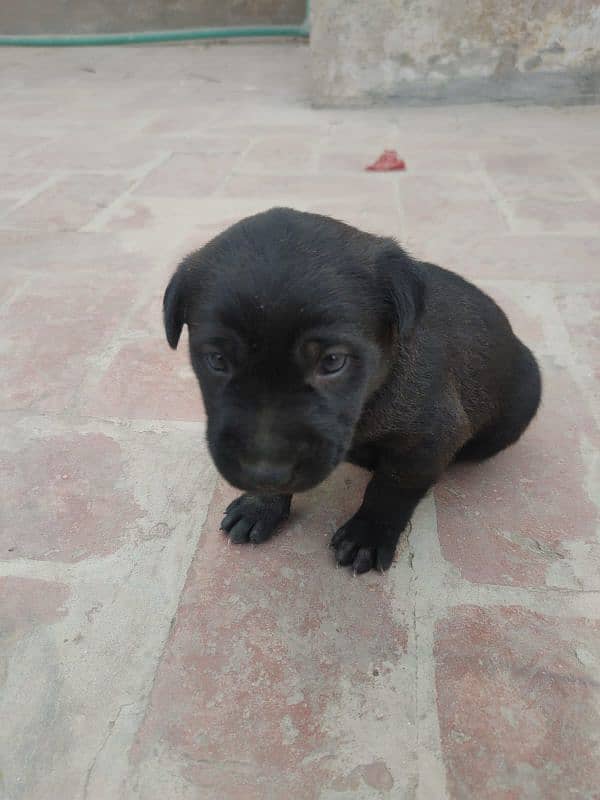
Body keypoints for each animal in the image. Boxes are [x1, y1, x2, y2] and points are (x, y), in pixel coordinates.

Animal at [162, 206, 540, 572]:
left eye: (332, 362)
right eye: (217, 360)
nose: (264, 471)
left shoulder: (429, 439)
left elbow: (391, 487)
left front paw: (367, 533)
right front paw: (261, 504)